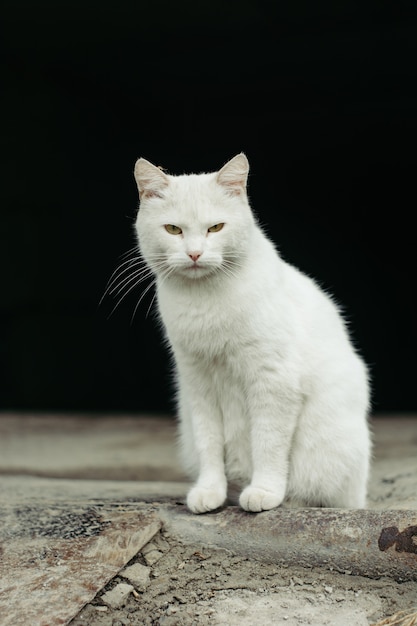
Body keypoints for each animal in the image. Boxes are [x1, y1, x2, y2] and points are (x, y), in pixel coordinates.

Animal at [132, 152, 368, 512]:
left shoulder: (273, 380)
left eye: (215, 227)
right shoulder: (197, 384)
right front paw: (209, 492)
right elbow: (209, 444)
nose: (195, 254)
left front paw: (264, 492)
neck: (206, 301)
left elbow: (268, 443)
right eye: (173, 229)